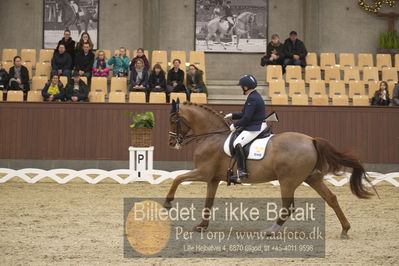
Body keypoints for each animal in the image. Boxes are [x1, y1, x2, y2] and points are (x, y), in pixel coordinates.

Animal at [165, 102, 376, 239]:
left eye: (174, 119)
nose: (171, 142)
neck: (211, 137)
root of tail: (311, 140)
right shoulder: (212, 179)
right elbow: (208, 202)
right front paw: (202, 226)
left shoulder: (203, 172)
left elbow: (178, 178)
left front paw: (168, 203)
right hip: (312, 178)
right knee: (331, 198)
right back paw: (345, 229)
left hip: (287, 181)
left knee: (288, 206)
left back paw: (270, 230)